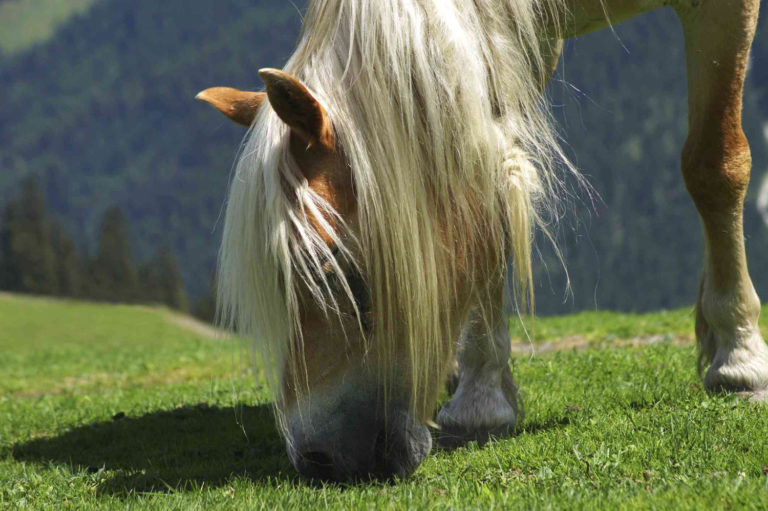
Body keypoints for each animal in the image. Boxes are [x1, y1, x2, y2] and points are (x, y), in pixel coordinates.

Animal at [196, 0, 768, 481]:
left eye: (339, 273)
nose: (317, 458)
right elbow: (491, 194)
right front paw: (481, 397)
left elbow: (714, 163)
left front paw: (740, 356)